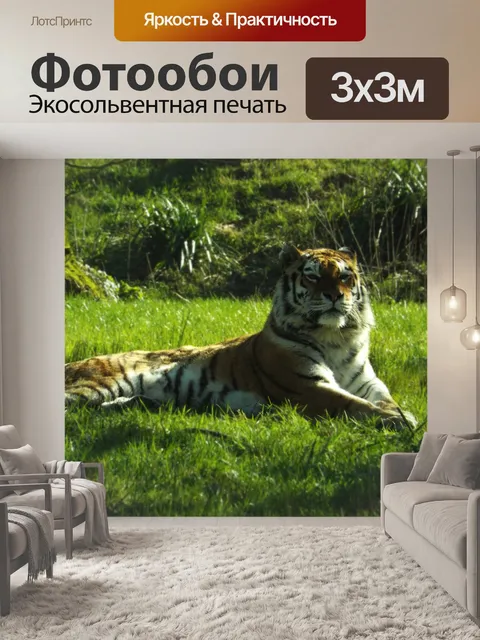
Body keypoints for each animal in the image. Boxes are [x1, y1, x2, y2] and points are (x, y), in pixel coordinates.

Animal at [65, 245, 413, 427]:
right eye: (313, 276)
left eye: (344, 276)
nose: (334, 295)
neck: (336, 338)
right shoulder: (308, 388)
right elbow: (352, 404)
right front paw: (402, 419)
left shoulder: (369, 384)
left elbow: (384, 400)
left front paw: (399, 413)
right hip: (97, 385)